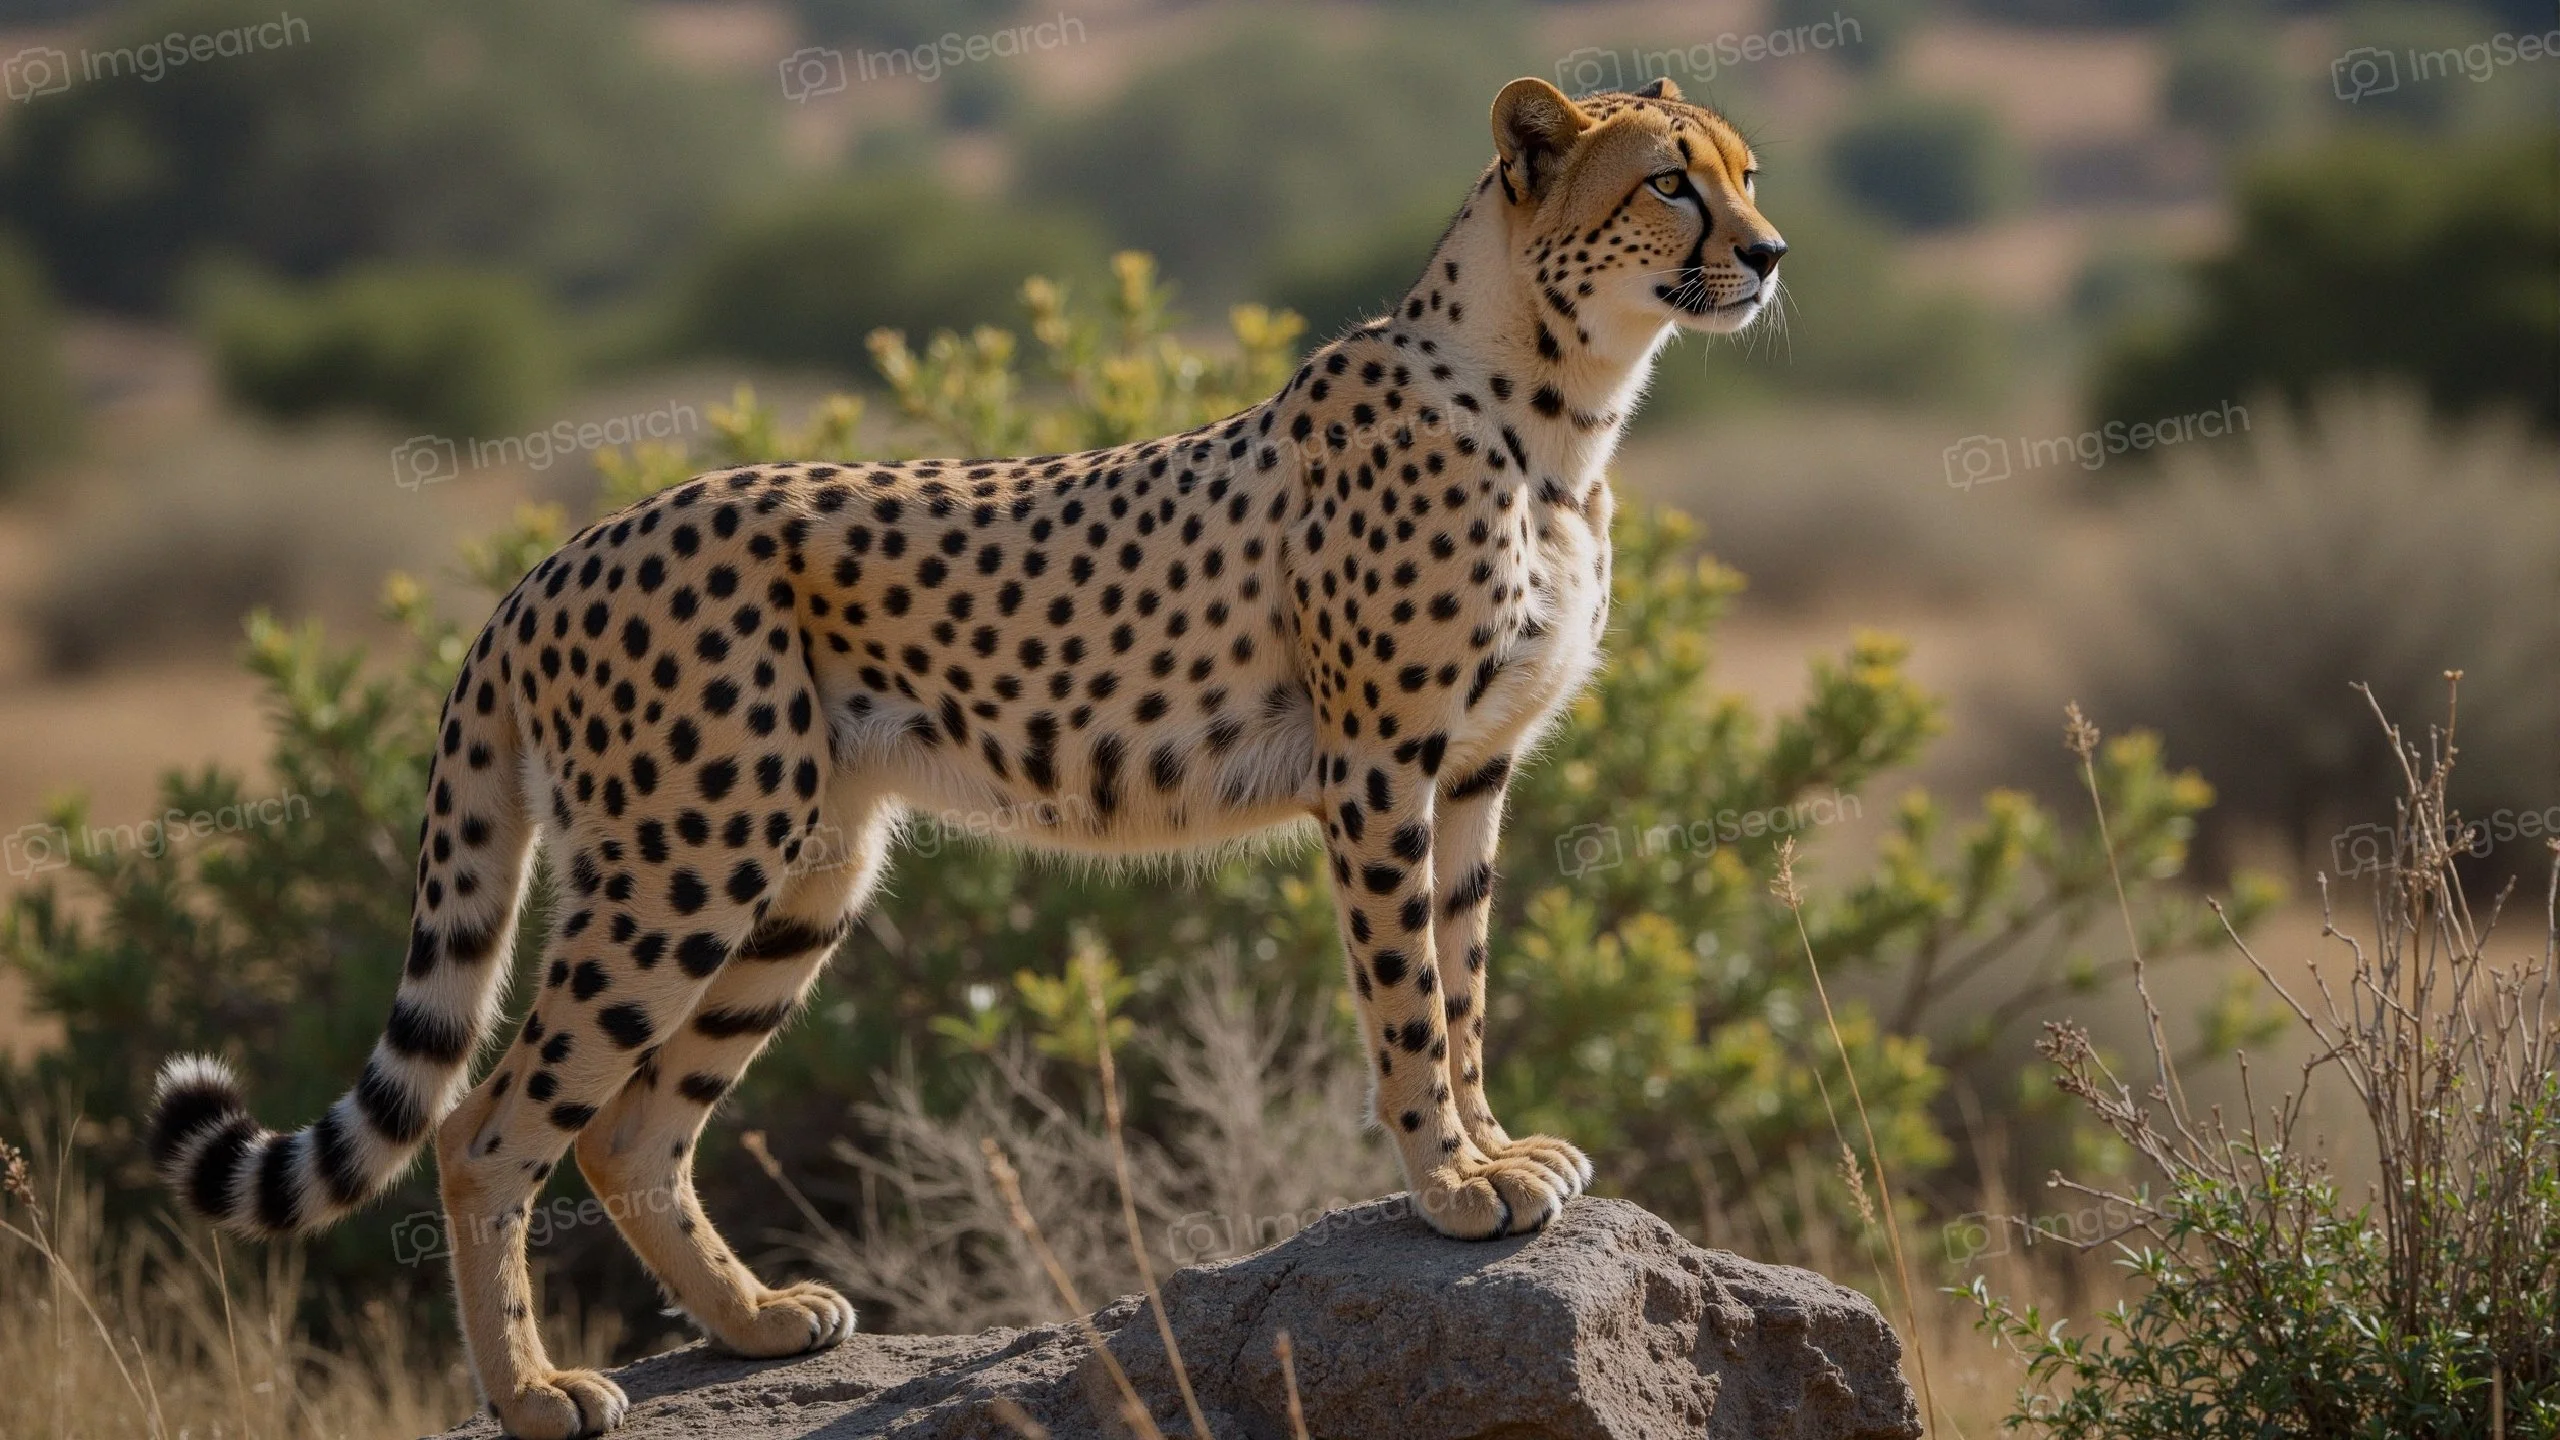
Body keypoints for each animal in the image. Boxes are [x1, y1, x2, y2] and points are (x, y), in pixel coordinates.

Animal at [142, 75, 1782, 1439]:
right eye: (1670, 183)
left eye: (1748, 173)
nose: (1769, 254)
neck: (1557, 411)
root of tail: (557, 553)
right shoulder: (1382, 761)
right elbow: (1407, 1002)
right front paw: (1448, 1185)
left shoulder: (1473, 771)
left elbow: (1467, 977)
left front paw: (1499, 1152)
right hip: (687, 859)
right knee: (488, 1130)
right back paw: (539, 1396)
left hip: (798, 869)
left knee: (629, 1130)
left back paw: (754, 1323)